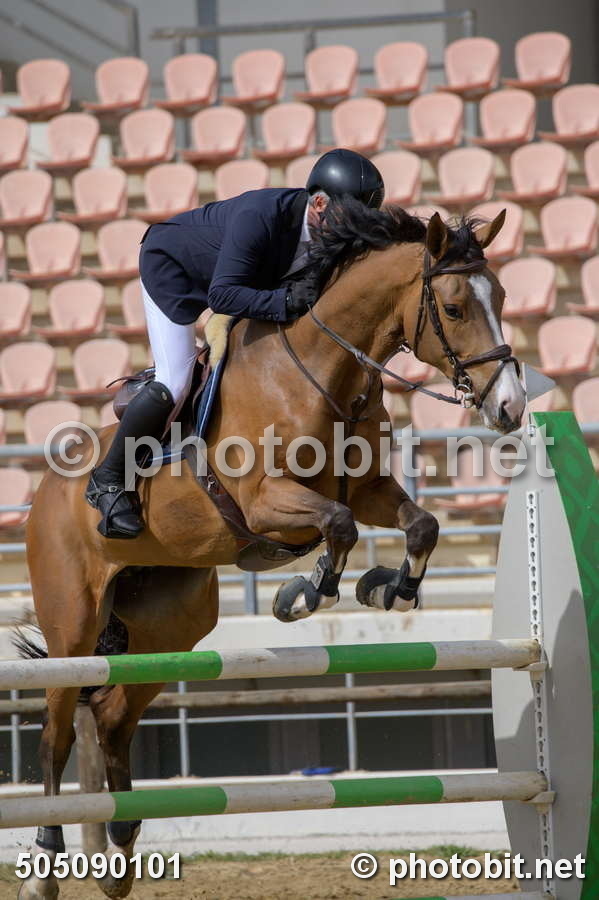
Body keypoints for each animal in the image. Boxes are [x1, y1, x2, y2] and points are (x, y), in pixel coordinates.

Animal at [19, 204, 525, 899]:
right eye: (452, 308)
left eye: (499, 296)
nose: (510, 408)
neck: (324, 373)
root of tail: (47, 484)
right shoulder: (266, 502)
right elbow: (338, 527)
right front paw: (304, 593)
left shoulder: (370, 488)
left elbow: (419, 526)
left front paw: (389, 589)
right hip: (73, 621)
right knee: (58, 731)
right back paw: (46, 865)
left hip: (171, 625)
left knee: (115, 714)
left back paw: (120, 851)